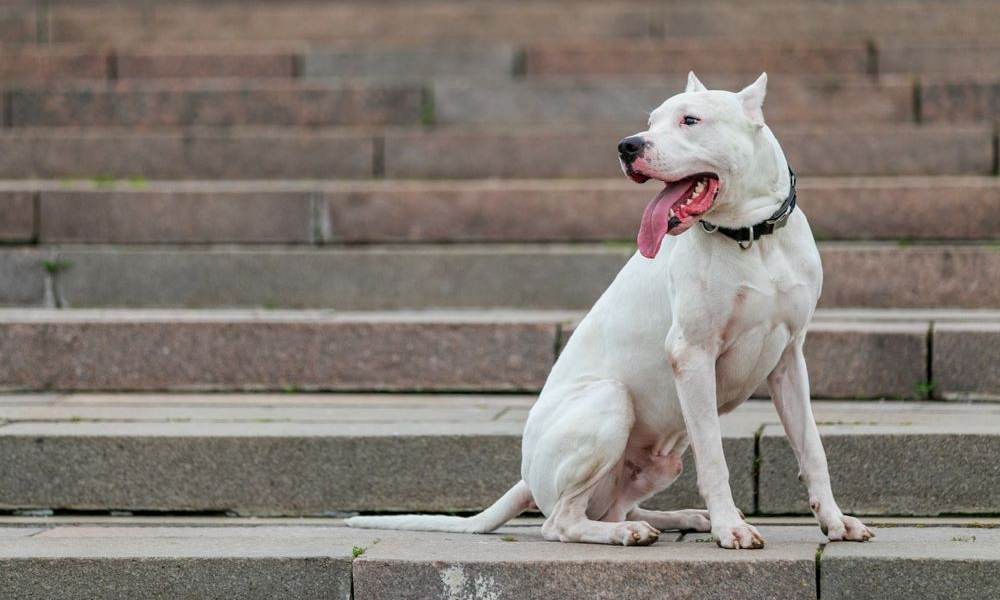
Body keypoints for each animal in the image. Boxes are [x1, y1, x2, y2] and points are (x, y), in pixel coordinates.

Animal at [348, 71, 872, 548]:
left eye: (690, 120)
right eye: (650, 121)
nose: (626, 145)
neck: (753, 237)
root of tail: (526, 475)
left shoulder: (789, 359)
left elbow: (812, 449)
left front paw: (834, 521)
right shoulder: (692, 354)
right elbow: (714, 457)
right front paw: (731, 528)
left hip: (661, 460)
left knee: (614, 504)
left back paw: (679, 518)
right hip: (608, 401)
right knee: (561, 521)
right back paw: (631, 532)